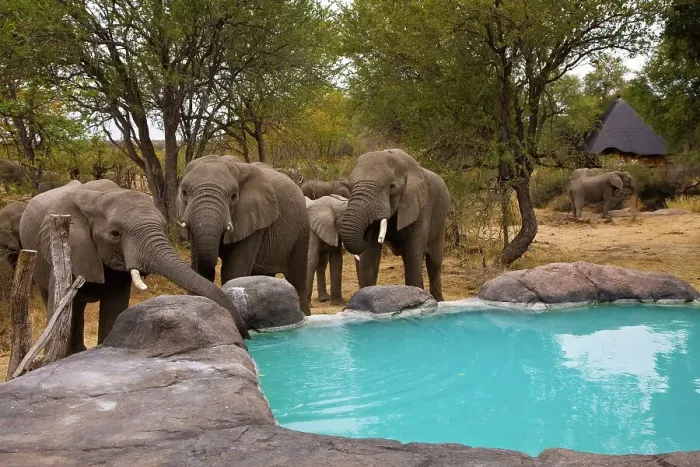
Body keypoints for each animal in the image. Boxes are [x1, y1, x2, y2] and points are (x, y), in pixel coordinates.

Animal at [19, 179, 250, 353]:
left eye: (164, 226)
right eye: (115, 234)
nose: (245, 337)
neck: (98, 197)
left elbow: (115, 303)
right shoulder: (66, 249)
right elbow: (59, 306)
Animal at [177, 156, 311, 315]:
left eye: (233, 196)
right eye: (184, 193)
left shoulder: (254, 218)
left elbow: (232, 273)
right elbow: (199, 271)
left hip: (302, 230)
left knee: (297, 279)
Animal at [339, 149, 450, 301]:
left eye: (392, 187)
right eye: (350, 186)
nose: (366, 229)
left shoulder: (421, 206)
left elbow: (414, 256)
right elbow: (369, 262)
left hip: (441, 220)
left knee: (434, 263)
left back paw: (438, 300)